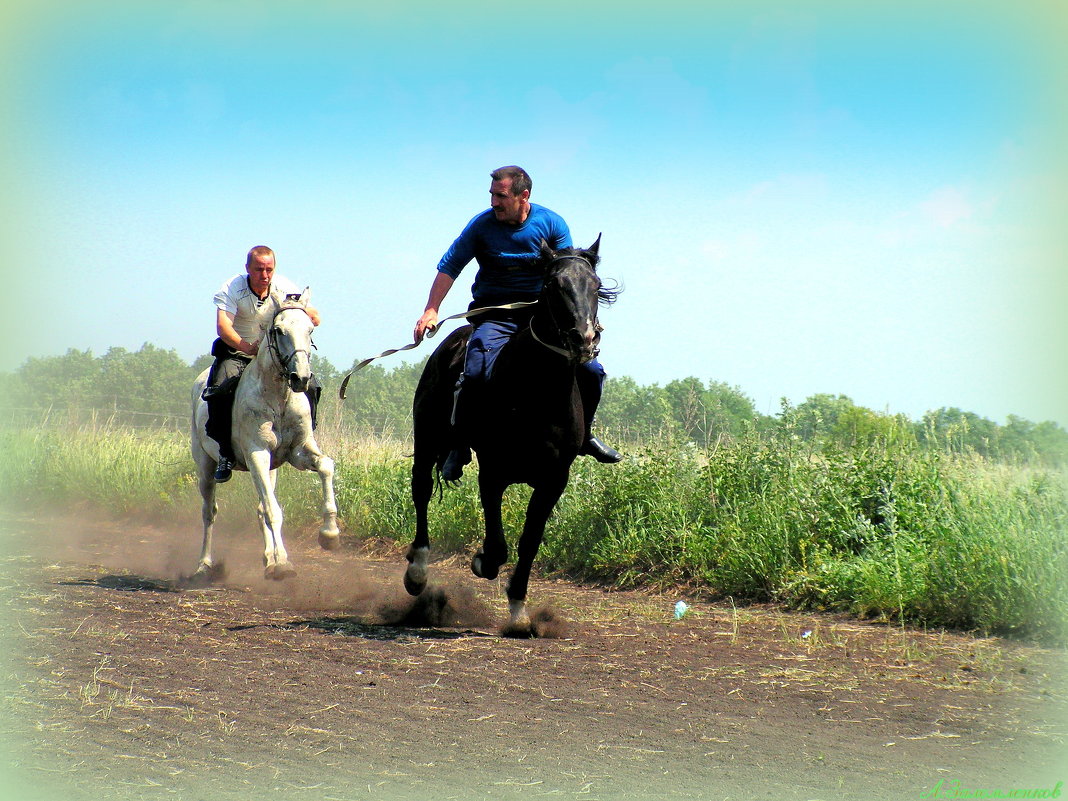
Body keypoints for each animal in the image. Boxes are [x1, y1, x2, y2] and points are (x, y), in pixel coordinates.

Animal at [190, 290, 339, 585]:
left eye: (310, 329)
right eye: (278, 330)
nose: (301, 377)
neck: (278, 397)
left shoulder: (298, 451)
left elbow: (325, 466)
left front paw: (329, 534)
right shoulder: (257, 453)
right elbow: (273, 510)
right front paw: (283, 565)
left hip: (271, 468)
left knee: (258, 508)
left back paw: (268, 559)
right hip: (206, 466)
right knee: (209, 512)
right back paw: (204, 566)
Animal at [401, 234, 619, 636]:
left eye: (595, 285)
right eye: (553, 285)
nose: (584, 338)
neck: (536, 391)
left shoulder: (554, 479)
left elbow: (529, 542)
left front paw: (519, 611)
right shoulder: (493, 472)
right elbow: (498, 546)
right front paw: (481, 562)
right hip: (427, 439)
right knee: (421, 490)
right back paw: (417, 573)